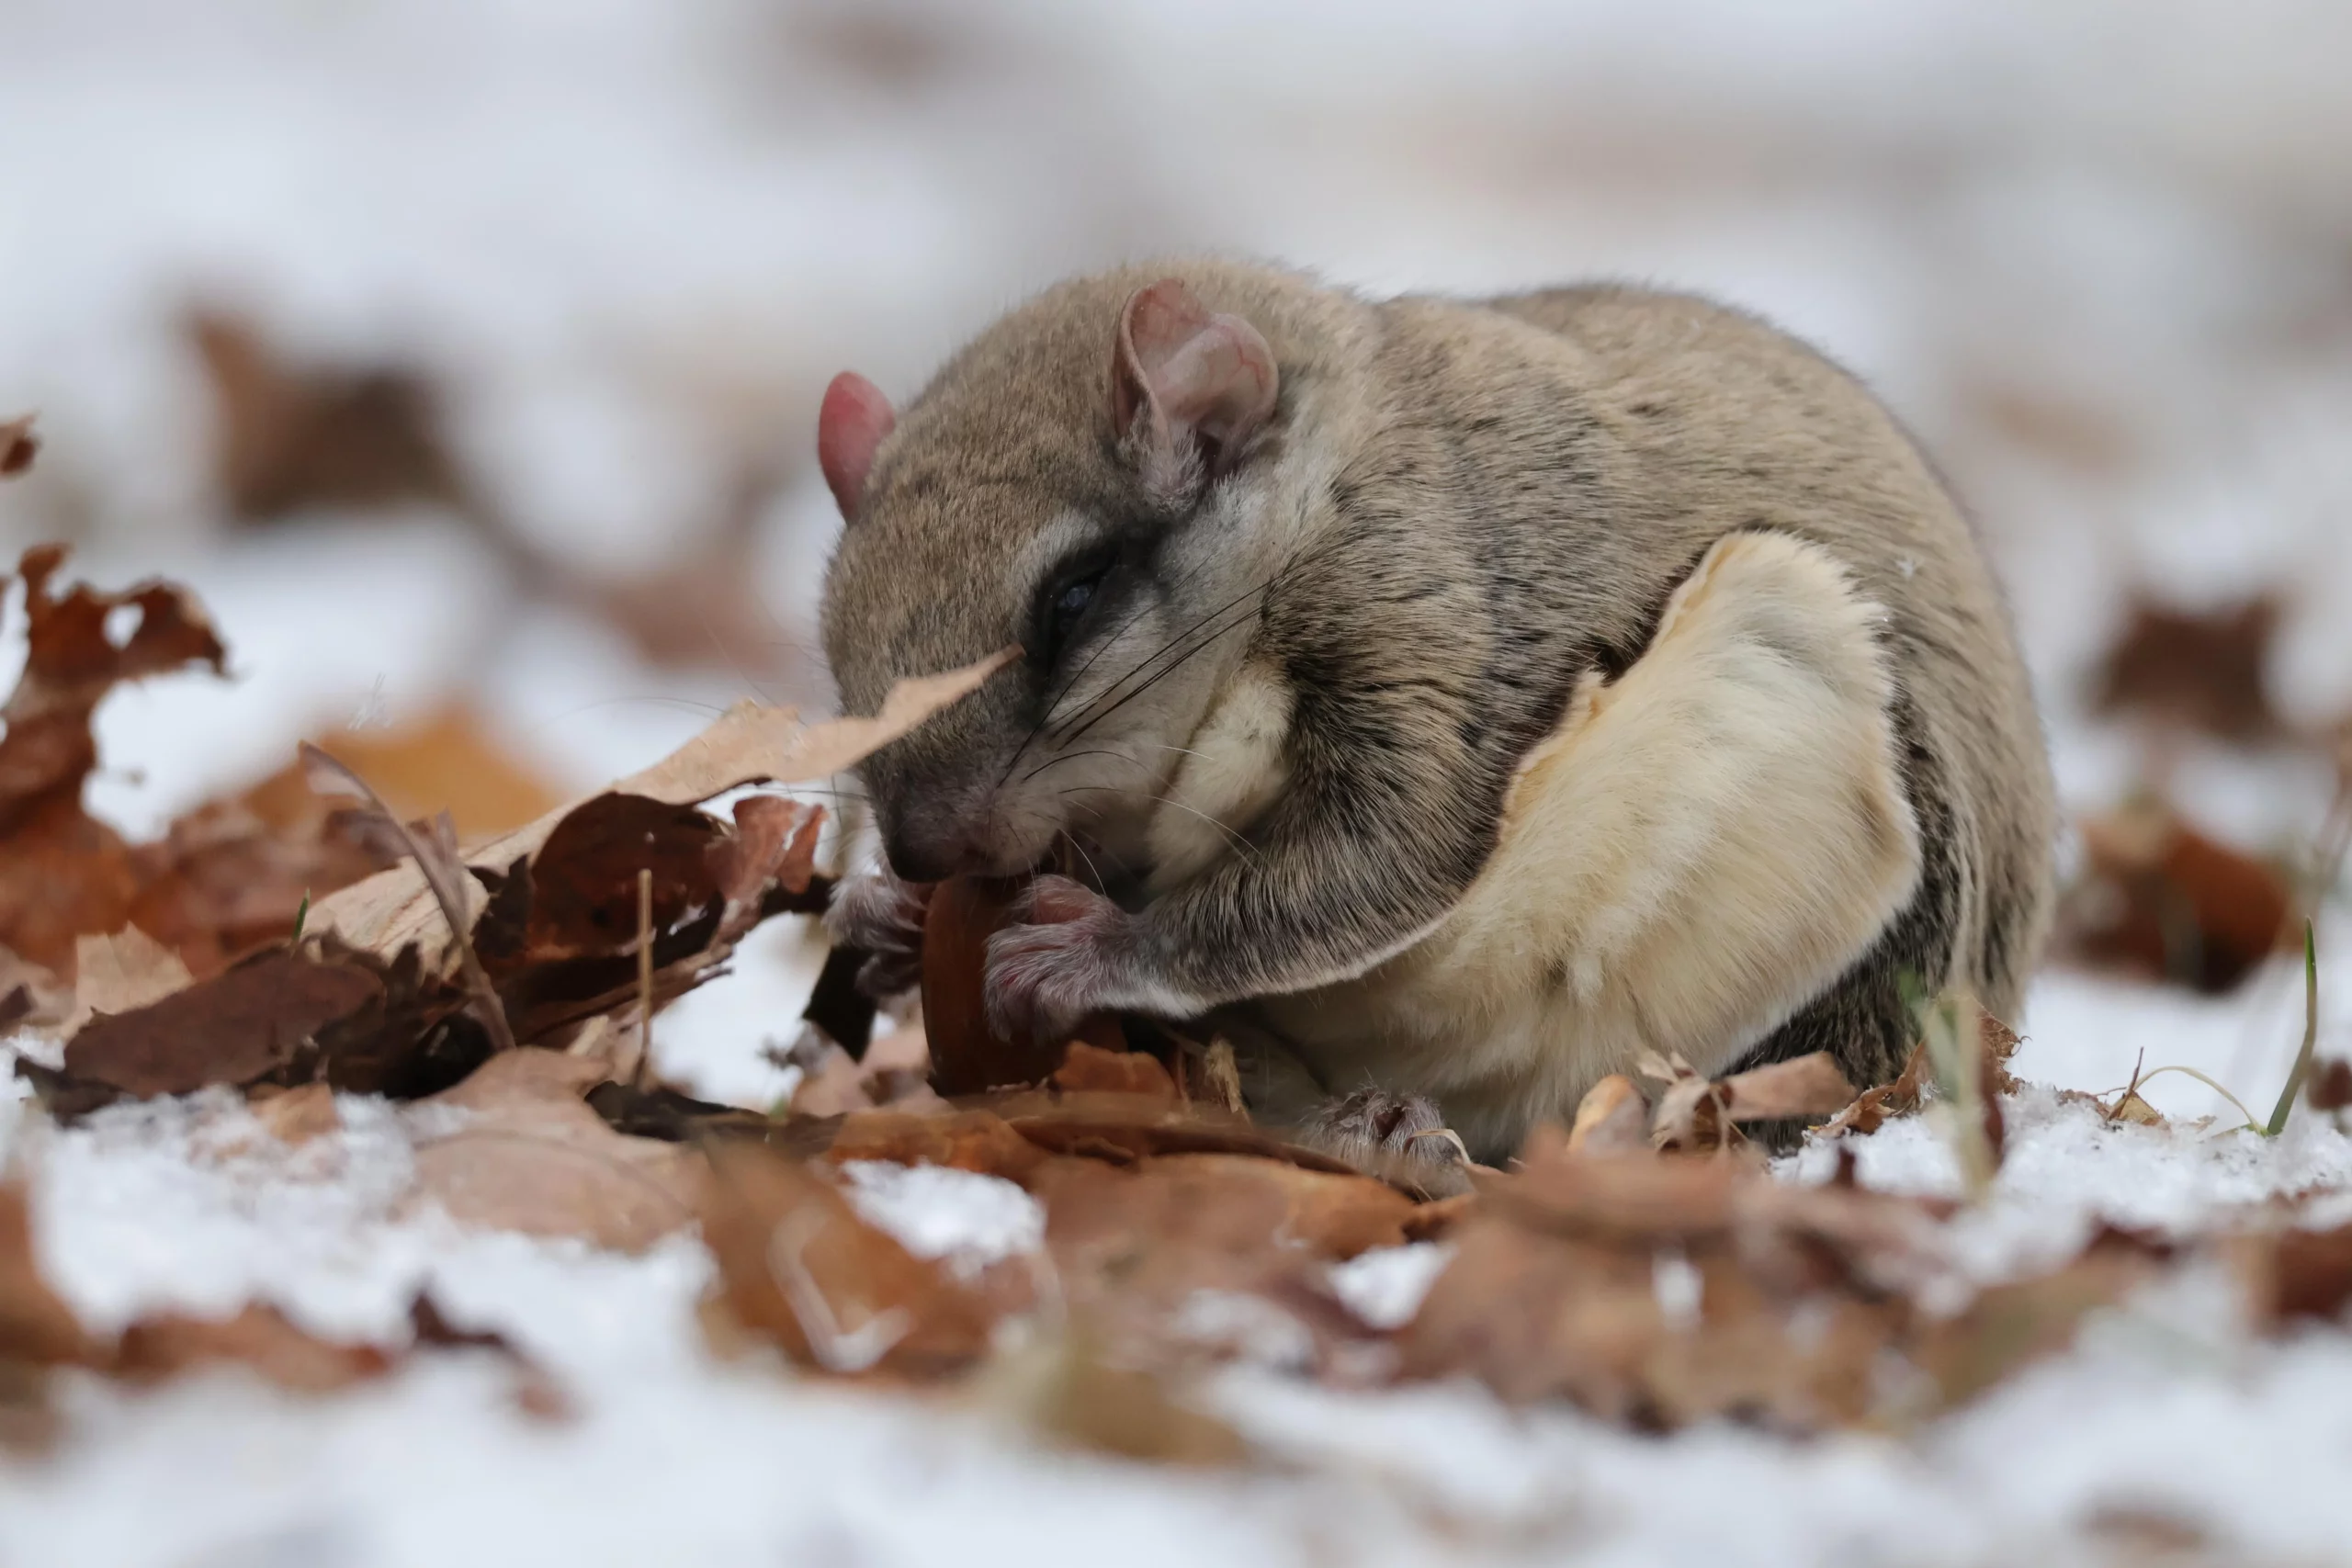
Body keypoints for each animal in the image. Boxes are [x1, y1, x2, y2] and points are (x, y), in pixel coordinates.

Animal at [815, 259, 2055, 1167]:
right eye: (832, 636)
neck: (1322, 487)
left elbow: (1383, 852)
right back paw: (1362, 1123)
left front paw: (1099, 945)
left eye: (1073, 598)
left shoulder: (1434, 610)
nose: (922, 851)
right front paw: (880, 918)